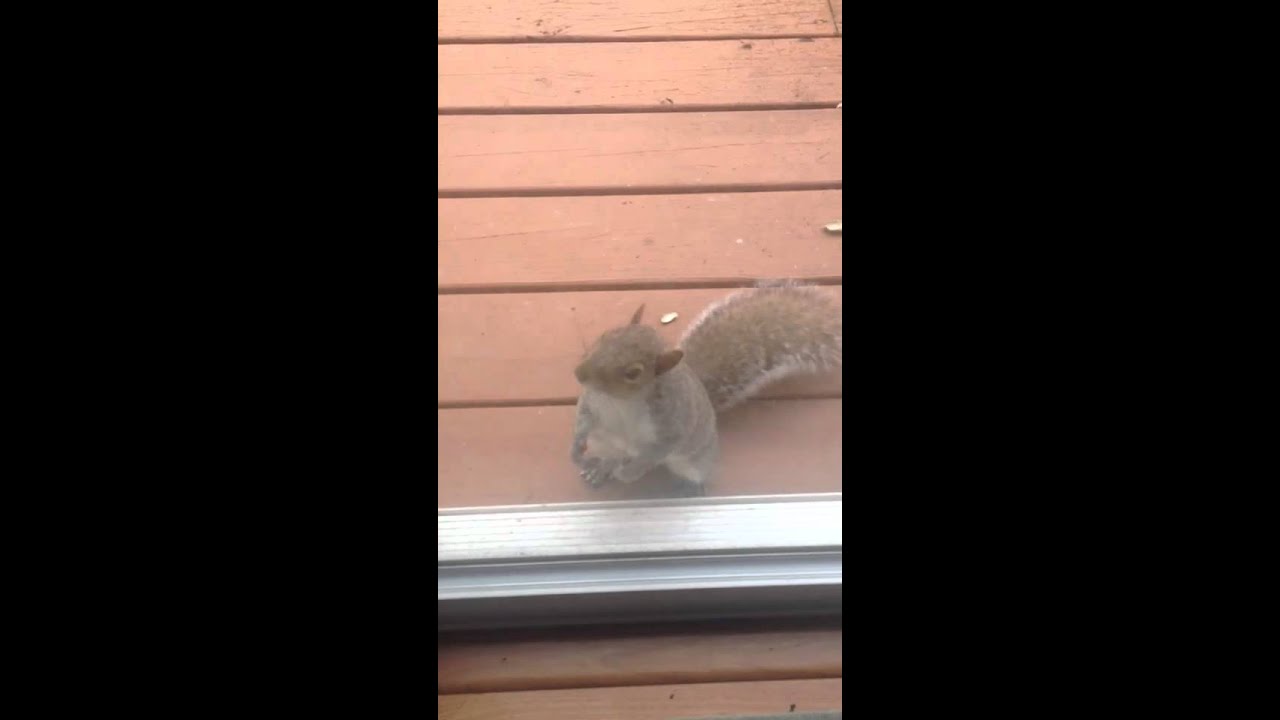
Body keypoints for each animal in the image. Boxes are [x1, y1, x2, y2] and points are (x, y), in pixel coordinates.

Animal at [570, 280, 842, 496]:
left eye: (633, 373)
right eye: (605, 336)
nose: (579, 373)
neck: (620, 402)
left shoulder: (670, 423)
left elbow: (656, 451)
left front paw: (630, 473)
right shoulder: (592, 403)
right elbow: (583, 419)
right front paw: (575, 450)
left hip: (697, 459)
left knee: (695, 470)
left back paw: (689, 486)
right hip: (602, 442)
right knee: (610, 455)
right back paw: (600, 468)